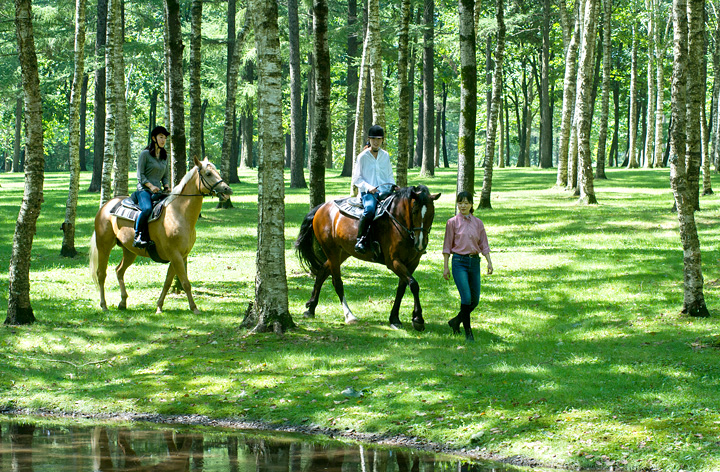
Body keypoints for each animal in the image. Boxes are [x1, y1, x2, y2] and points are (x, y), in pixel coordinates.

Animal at [88, 157, 232, 316]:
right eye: (208, 173)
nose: (227, 190)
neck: (179, 214)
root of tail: (105, 207)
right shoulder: (175, 255)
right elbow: (185, 283)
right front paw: (194, 308)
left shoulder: (181, 256)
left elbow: (168, 282)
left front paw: (159, 306)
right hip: (104, 246)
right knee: (101, 273)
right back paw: (104, 305)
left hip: (130, 251)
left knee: (119, 271)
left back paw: (123, 302)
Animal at [296, 186, 442, 330]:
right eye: (415, 211)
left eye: (432, 213)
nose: (420, 243)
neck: (398, 221)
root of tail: (322, 207)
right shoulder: (393, 261)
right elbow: (413, 284)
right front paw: (418, 319)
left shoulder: (412, 263)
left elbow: (402, 288)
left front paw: (395, 318)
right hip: (331, 251)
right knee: (337, 282)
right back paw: (349, 316)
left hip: (342, 252)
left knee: (322, 273)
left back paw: (311, 309)